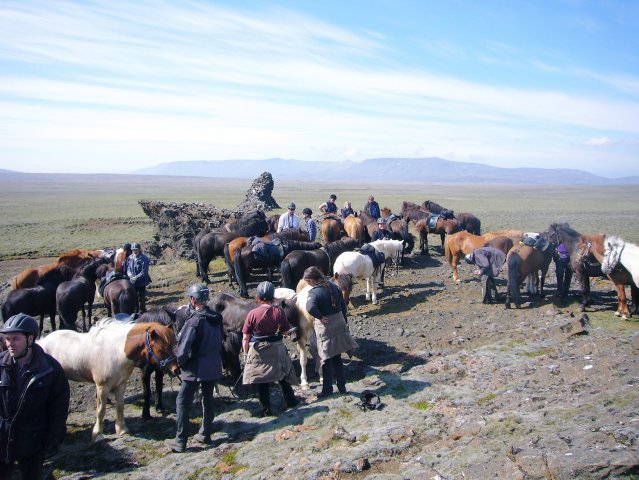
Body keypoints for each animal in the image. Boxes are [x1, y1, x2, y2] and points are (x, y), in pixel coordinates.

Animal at [38, 316, 178, 440]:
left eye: (173, 345)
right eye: (160, 348)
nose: (175, 370)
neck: (116, 351)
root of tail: (42, 342)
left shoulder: (121, 385)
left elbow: (120, 406)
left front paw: (122, 429)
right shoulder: (102, 387)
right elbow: (101, 410)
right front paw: (97, 433)